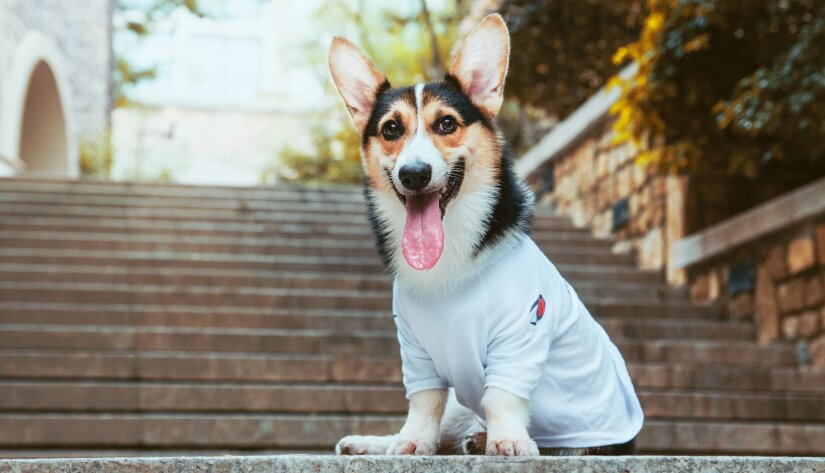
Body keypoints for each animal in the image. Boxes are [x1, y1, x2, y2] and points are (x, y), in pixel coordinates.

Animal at [328, 14, 644, 456]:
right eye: (391, 129)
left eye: (446, 123)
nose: (414, 174)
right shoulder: (416, 350)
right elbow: (424, 402)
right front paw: (411, 442)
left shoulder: (521, 336)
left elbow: (501, 396)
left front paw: (509, 440)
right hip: (460, 405)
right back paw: (377, 443)